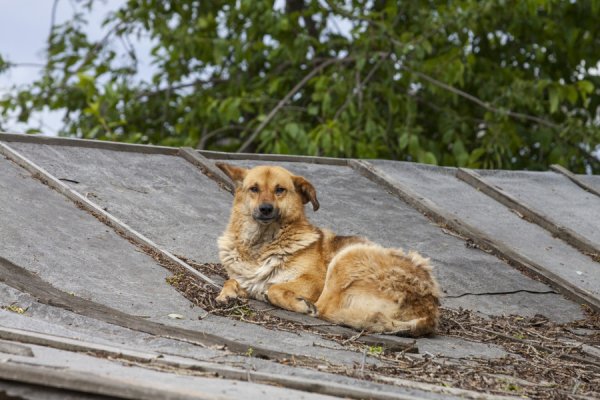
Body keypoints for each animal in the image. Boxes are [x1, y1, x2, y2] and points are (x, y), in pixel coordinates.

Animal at [213, 161, 438, 336]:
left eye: (280, 190)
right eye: (254, 189)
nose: (266, 209)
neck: (261, 244)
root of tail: (430, 309)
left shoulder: (315, 280)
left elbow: (274, 287)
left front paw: (293, 300)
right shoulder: (246, 278)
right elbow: (231, 280)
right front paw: (226, 294)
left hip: (347, 257)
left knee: (323, 309)